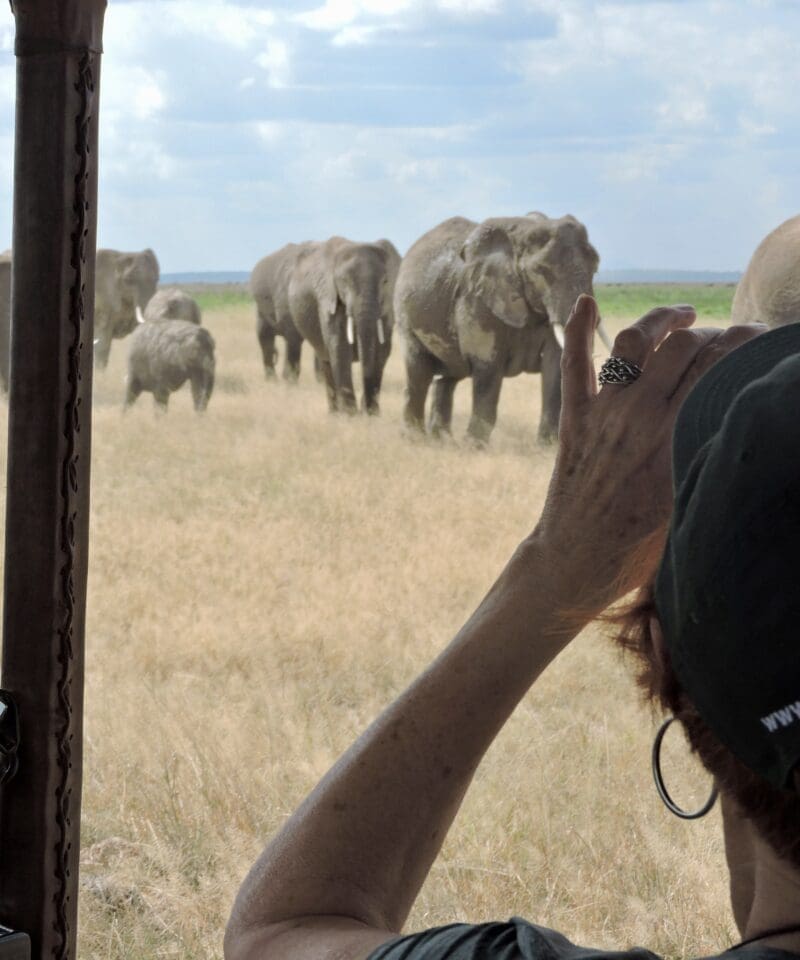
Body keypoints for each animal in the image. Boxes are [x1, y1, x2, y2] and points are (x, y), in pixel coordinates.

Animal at [288, 236, 400, 412]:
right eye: (344, 282)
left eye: (385, 281)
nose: (364, 410)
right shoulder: (327, 297)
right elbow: (339, 348)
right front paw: (351, 415)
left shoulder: (388, 305)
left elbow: (382, 350)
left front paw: (372, 414)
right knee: (326, 362)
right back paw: (335, 414)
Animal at [394, 212, 608, 444]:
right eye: (541, 271)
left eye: (596, 267)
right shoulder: (476, 299)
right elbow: (488, 366)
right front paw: (473, 446)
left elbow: (555, 364)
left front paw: (547, 446)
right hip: (404, 315)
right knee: (418, 372)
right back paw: (415, 438)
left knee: (448, 377)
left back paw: (441, 439)